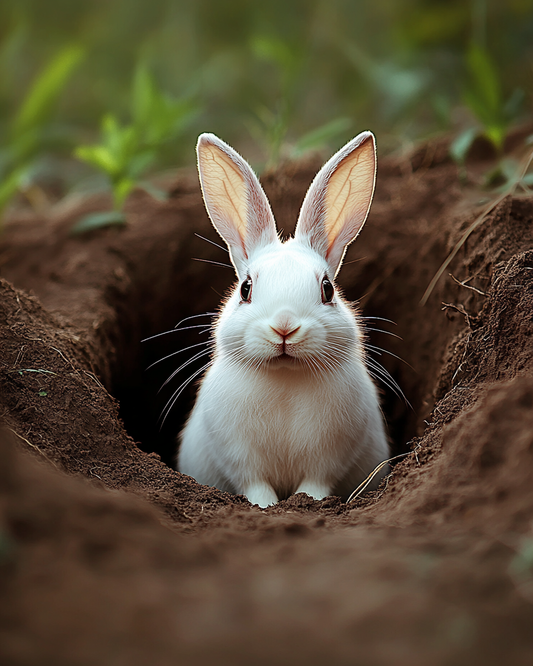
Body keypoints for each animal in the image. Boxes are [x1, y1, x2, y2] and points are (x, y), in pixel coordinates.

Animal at [177, 131, 390, 508]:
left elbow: (315, 484)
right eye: (245, 288)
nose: (285, 327)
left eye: (327, 289)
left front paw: (306, 503)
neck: (286, 376)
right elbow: (255, 485)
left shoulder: (329, 456)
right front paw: (266, 506)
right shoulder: (239, 455)